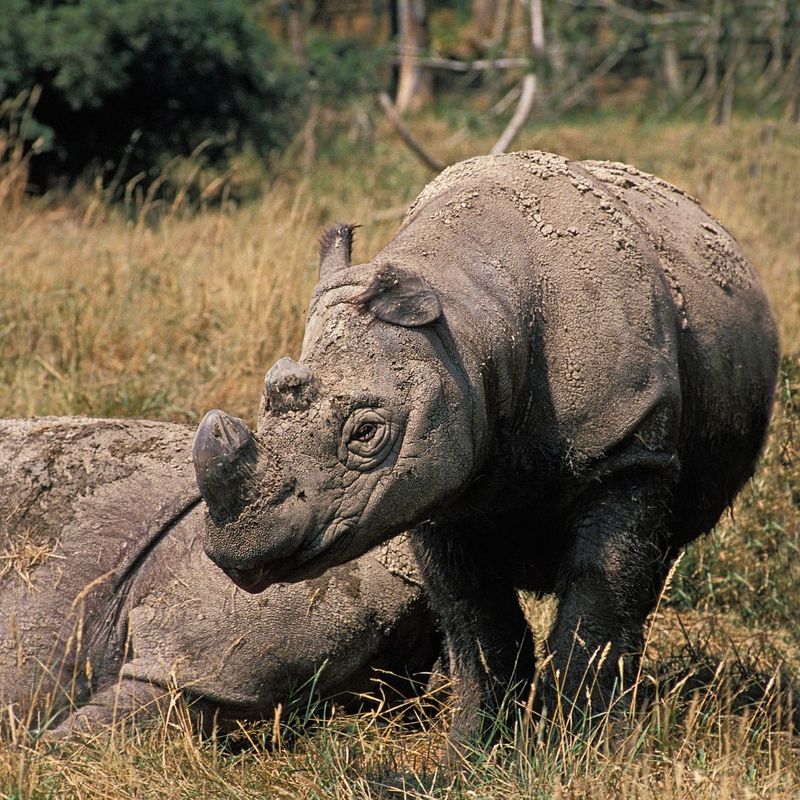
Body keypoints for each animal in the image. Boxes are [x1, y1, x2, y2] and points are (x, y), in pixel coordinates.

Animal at [197, 150, 780, 744]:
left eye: (366, 434)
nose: (241, 550)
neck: (470, 321)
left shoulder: (626, 450)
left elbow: (598, 597)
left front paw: (577, 745)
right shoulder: (434, 487)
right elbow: (474, 624)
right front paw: (473, 748)